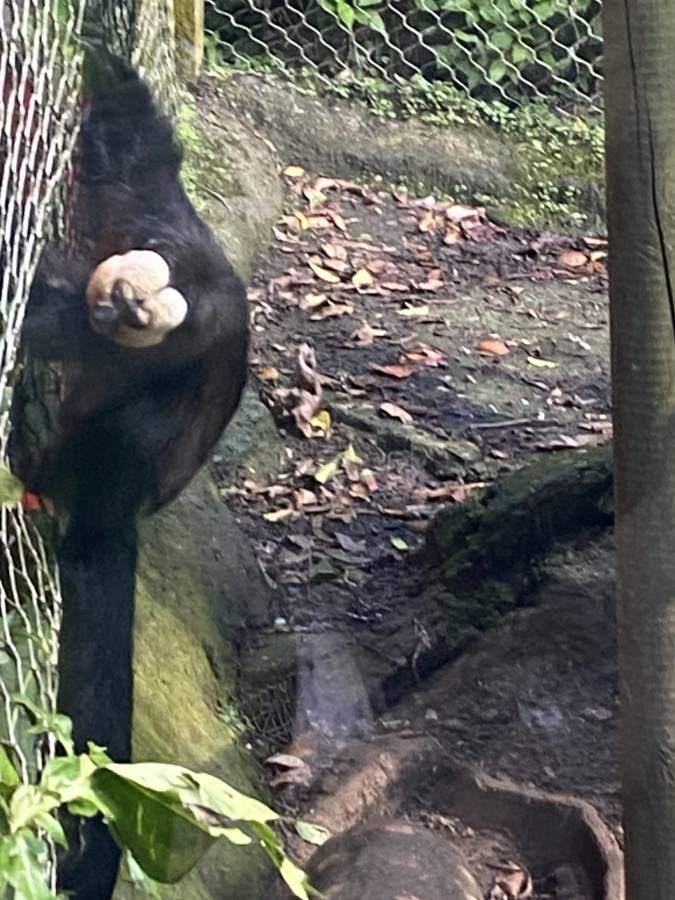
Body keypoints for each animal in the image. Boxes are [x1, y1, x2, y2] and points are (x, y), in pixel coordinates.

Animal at [18, 54, 248, 892]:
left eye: (134, 311)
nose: (114, 311)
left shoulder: (164, 338)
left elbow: (59, 331)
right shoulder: (154, 220)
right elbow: (135, 152)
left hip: (115, 484)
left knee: (126, 436)